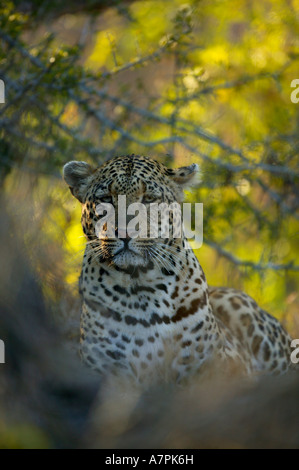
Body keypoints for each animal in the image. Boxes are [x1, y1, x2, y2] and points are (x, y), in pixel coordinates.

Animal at [62, 155, 292, 390]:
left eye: (149, 199)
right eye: (106, 198)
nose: (125, 232)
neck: (141, 286)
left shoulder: (216, 365)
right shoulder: (106, 369)